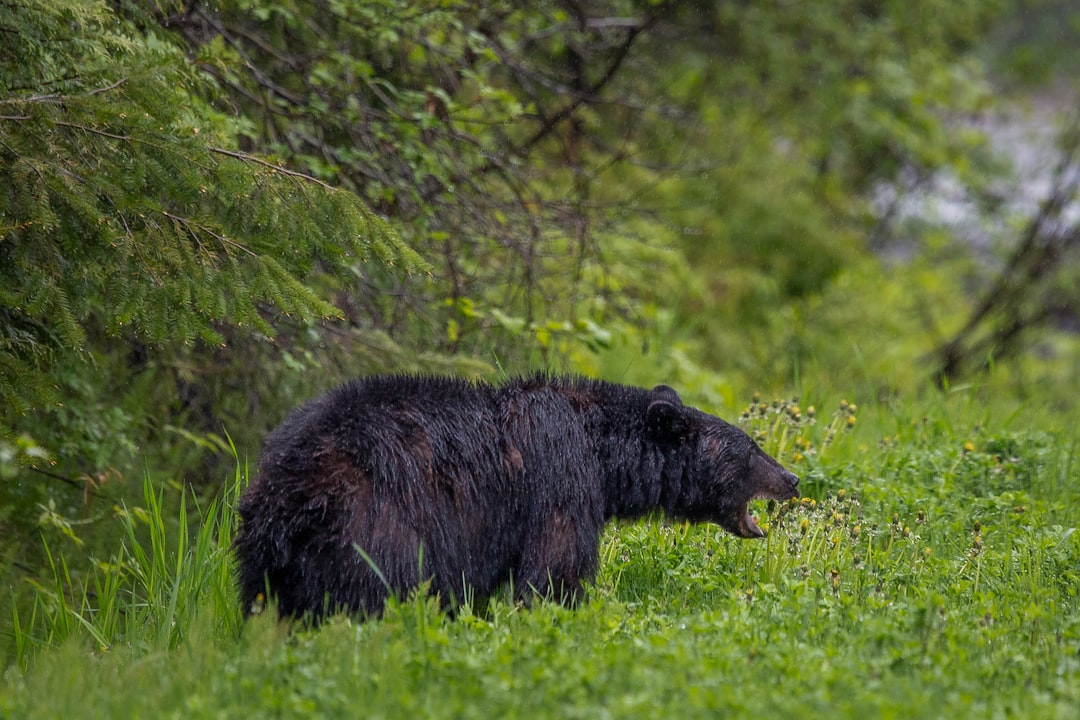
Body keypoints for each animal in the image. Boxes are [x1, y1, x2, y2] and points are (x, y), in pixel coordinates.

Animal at [236, 371, 799, 621]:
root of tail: (291, 495)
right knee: (377, 593)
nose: (792, 478)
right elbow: (555, 564)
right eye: (751, 447)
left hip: (265, 558)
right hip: (374, 526)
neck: (601, 450)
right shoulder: (559, 475)